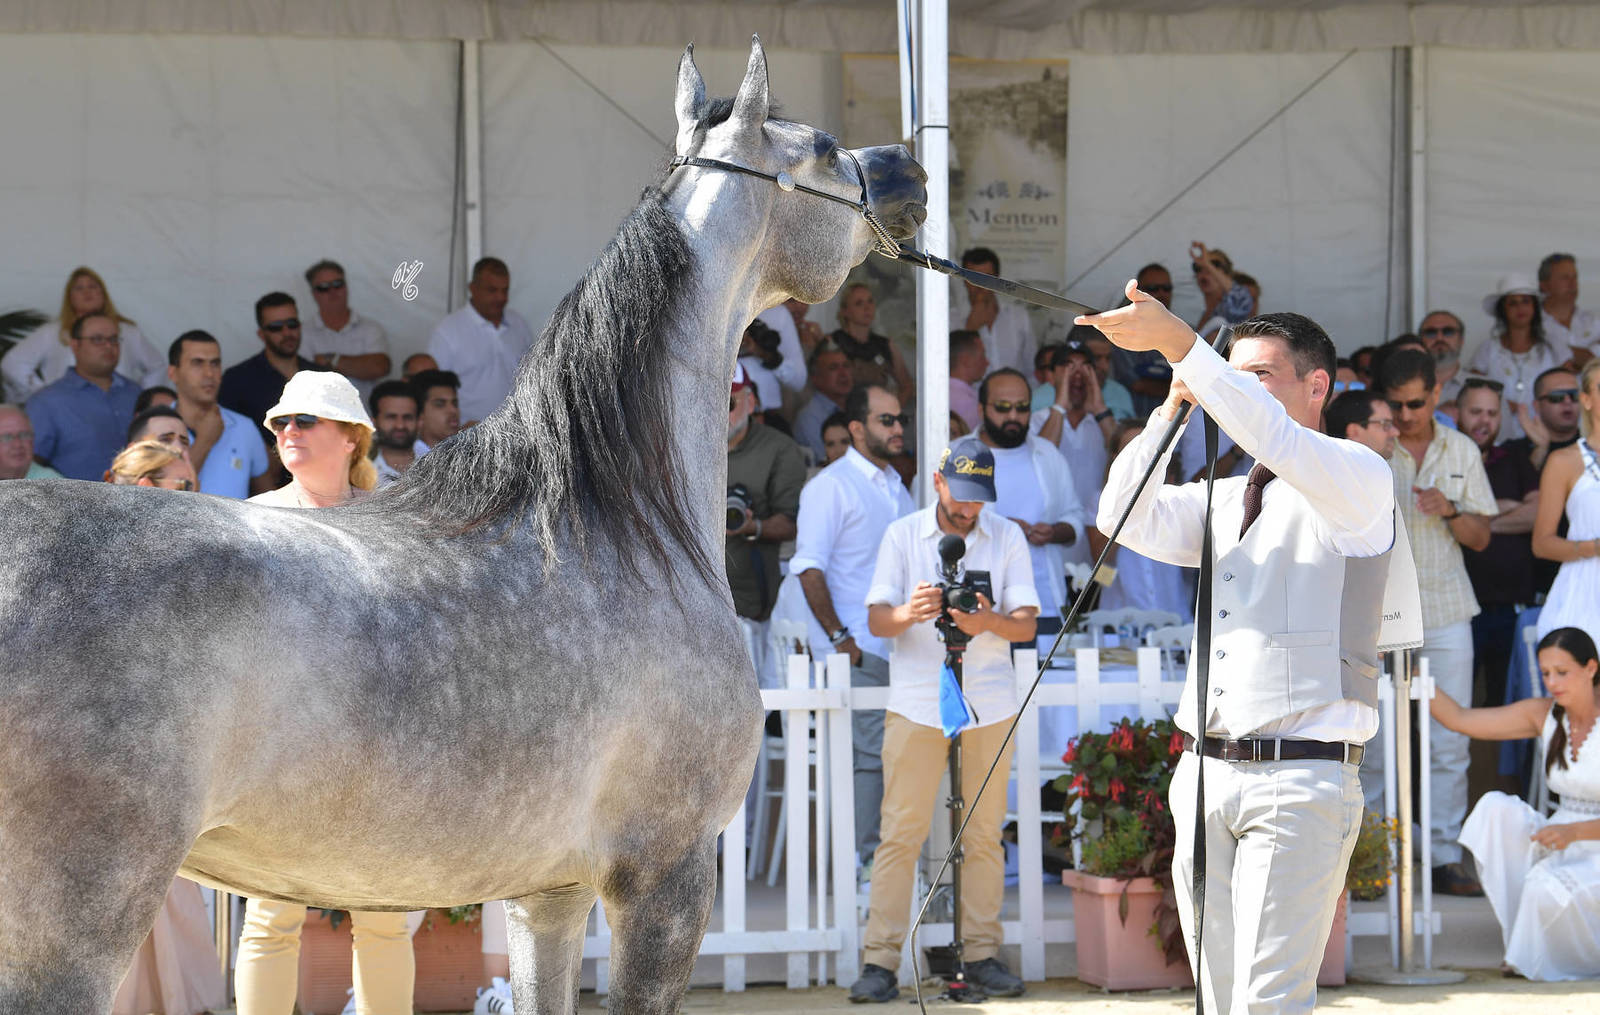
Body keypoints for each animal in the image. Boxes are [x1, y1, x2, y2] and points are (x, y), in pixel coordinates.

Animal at [0, 37, 927, 1015]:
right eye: (820, 146)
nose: (907, 168)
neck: (624, 524)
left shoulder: (545, 894)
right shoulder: (665, 881)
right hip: (75, 926)